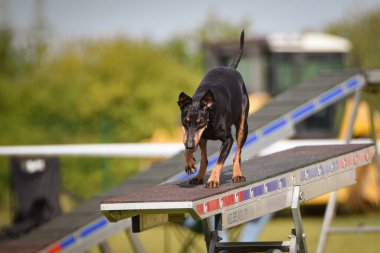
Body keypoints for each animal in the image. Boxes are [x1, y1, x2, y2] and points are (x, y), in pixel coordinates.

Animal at [178, 30, 249, 188]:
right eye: (185, 121)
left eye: (200, 122)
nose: (190, 145)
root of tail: (231, 68)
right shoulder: (193, 135)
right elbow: (188, 143)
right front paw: (189, 163)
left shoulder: (228, 140)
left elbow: (219, 161)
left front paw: (213, 180)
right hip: (203, 139)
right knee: (205, 159)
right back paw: (198, 177)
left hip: (243, 126)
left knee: (237, 154)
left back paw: (237, 175)